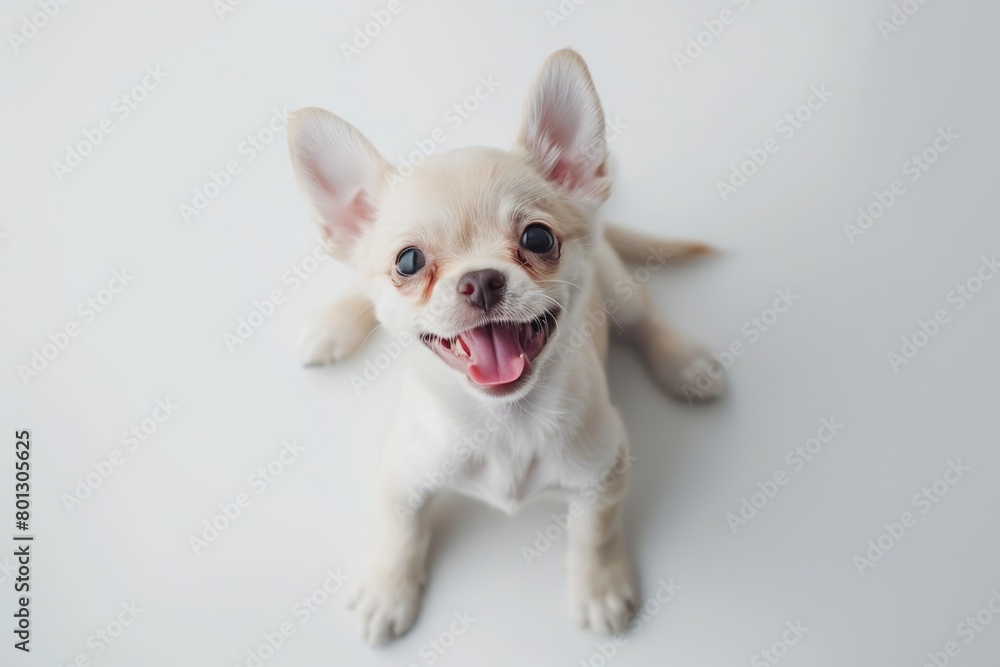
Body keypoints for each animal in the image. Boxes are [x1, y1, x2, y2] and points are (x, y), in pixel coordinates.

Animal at [286, 49, 724, 644]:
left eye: (538, 238)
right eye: (408, 261)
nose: (480, 280)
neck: (505, 425)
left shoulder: (603, 478)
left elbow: (595, 535)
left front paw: (599, 588)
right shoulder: (401, 476)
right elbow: (400, 531)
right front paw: (388, 590)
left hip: (617, 283)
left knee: (645, 318)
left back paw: (685, 364)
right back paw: (333, 324)